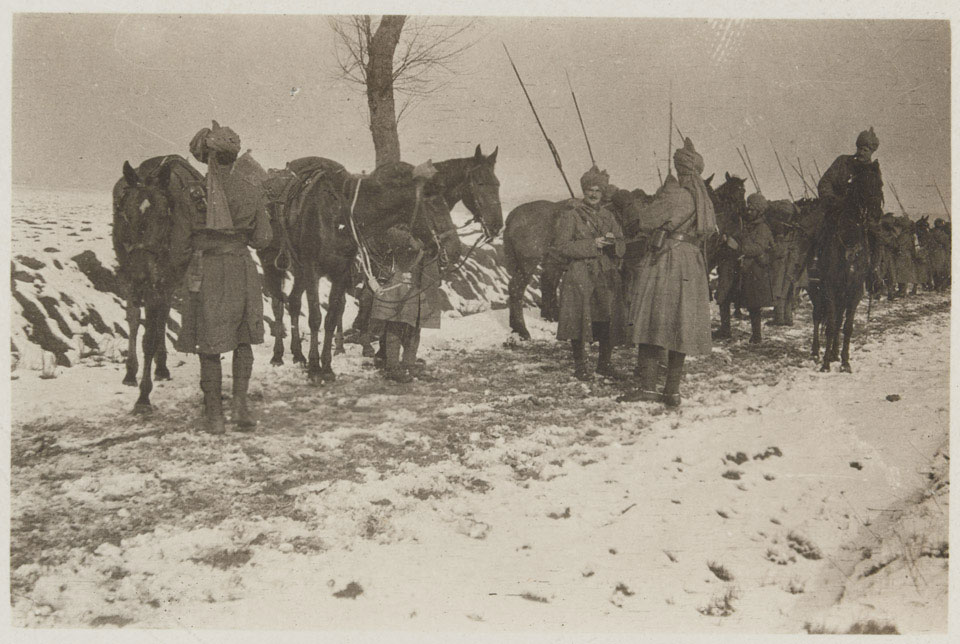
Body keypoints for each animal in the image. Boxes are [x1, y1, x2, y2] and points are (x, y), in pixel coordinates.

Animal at [111, 155, 203, 412]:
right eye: (125, 215)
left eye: (163, 216)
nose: (140, 273)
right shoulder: (130, 280)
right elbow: (133, 323)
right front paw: (130, 373)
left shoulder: (159, 282)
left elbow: (149, 339)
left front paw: (143, 396)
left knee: (161, 316)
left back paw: (160, 367)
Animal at [258, 143, 506, 380]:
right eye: (480, 183)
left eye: (497, 184)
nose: (496, 226)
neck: (339, 215)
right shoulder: (315, 269)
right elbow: (317, 318)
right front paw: (316, 368)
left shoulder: (342, 272)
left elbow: (332, 317)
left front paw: (328, 367)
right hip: (275, 263)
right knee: (279, 304)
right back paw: (279, 355)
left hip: (299, 269)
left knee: (294, 302)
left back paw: (300, 354)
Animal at [808, 160, 884, 372]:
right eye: (863, 184)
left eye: (880, 184)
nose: (876, 215)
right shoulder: (829, 288)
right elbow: (831, 325)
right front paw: (825, 364)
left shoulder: (855, 290)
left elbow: (846, 327)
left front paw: (845, 361)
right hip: (815, 290)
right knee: (817, 316)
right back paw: (816, 352)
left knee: (839, 319)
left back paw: (834, 353)